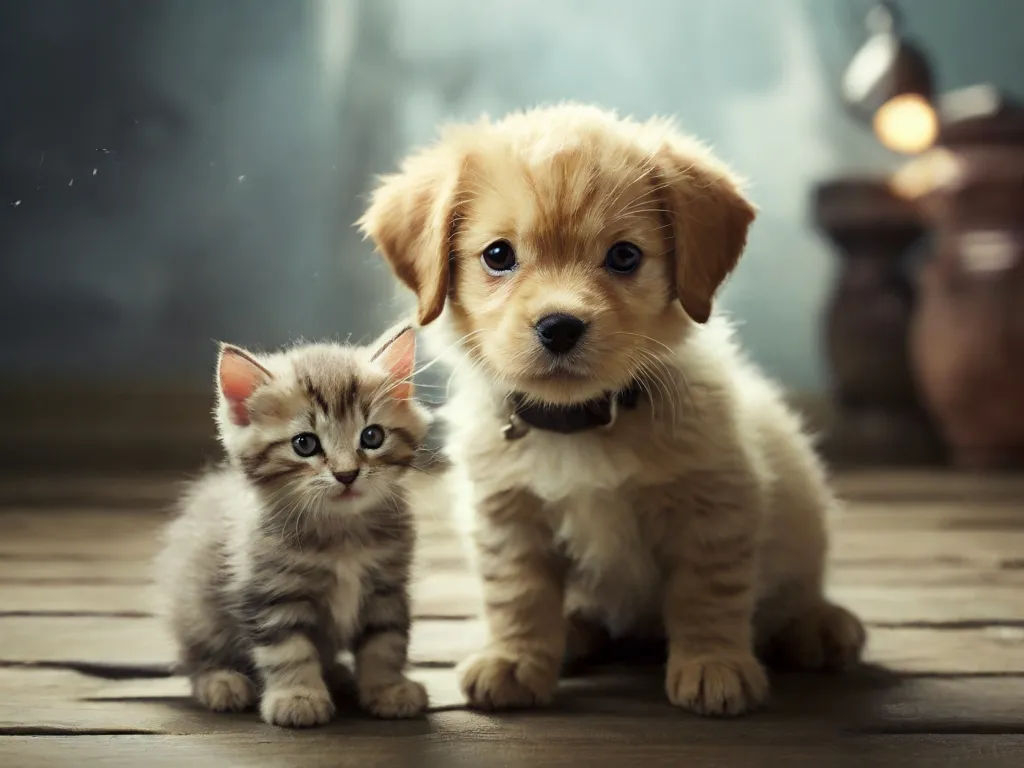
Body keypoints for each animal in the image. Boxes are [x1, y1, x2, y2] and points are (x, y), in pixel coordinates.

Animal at [153, 325, 430, 729]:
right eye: (304, 444)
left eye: (372, 436)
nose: (347, 474)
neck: (342, 534)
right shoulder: (271, 592)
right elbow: (288, 651)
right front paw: (298, 696)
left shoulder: (387, 587)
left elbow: (385, 642)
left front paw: (387, 688)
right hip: (196, 608)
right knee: (195, 658)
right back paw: (221, 681)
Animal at [360, 105, 864, 720]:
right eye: (499, 255)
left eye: (624, 256)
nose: (560, 327)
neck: (580, 424)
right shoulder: (507, 515)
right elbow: (518, 595)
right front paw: (515, 657)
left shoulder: (714, 505)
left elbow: (708, 594)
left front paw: (713, 663)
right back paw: (573, 632)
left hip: (802, 511)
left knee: (795, 588)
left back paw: (817, 624)